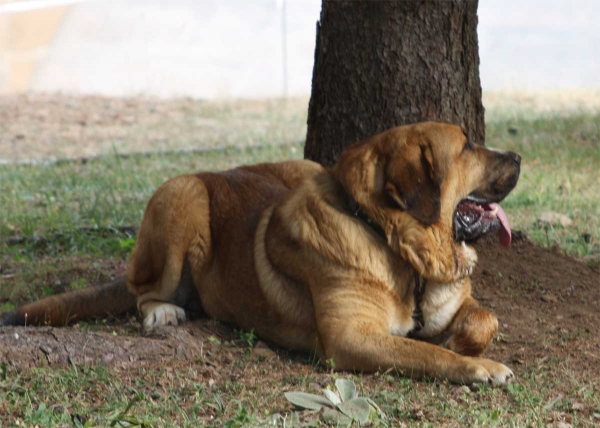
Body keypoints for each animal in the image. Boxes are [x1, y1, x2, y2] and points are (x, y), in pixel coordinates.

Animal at [2, 122, 520, 386]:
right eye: (468, 145)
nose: (517, 157)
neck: (394, 243)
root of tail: (219, 170)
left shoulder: (455, 302)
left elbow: (484, 319)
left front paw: (461, 342)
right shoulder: (352, 337)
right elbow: (425, 353)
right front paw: (478, 366)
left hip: (300, 167)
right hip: (181, 194)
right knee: (141, 288)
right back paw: (163, 311)